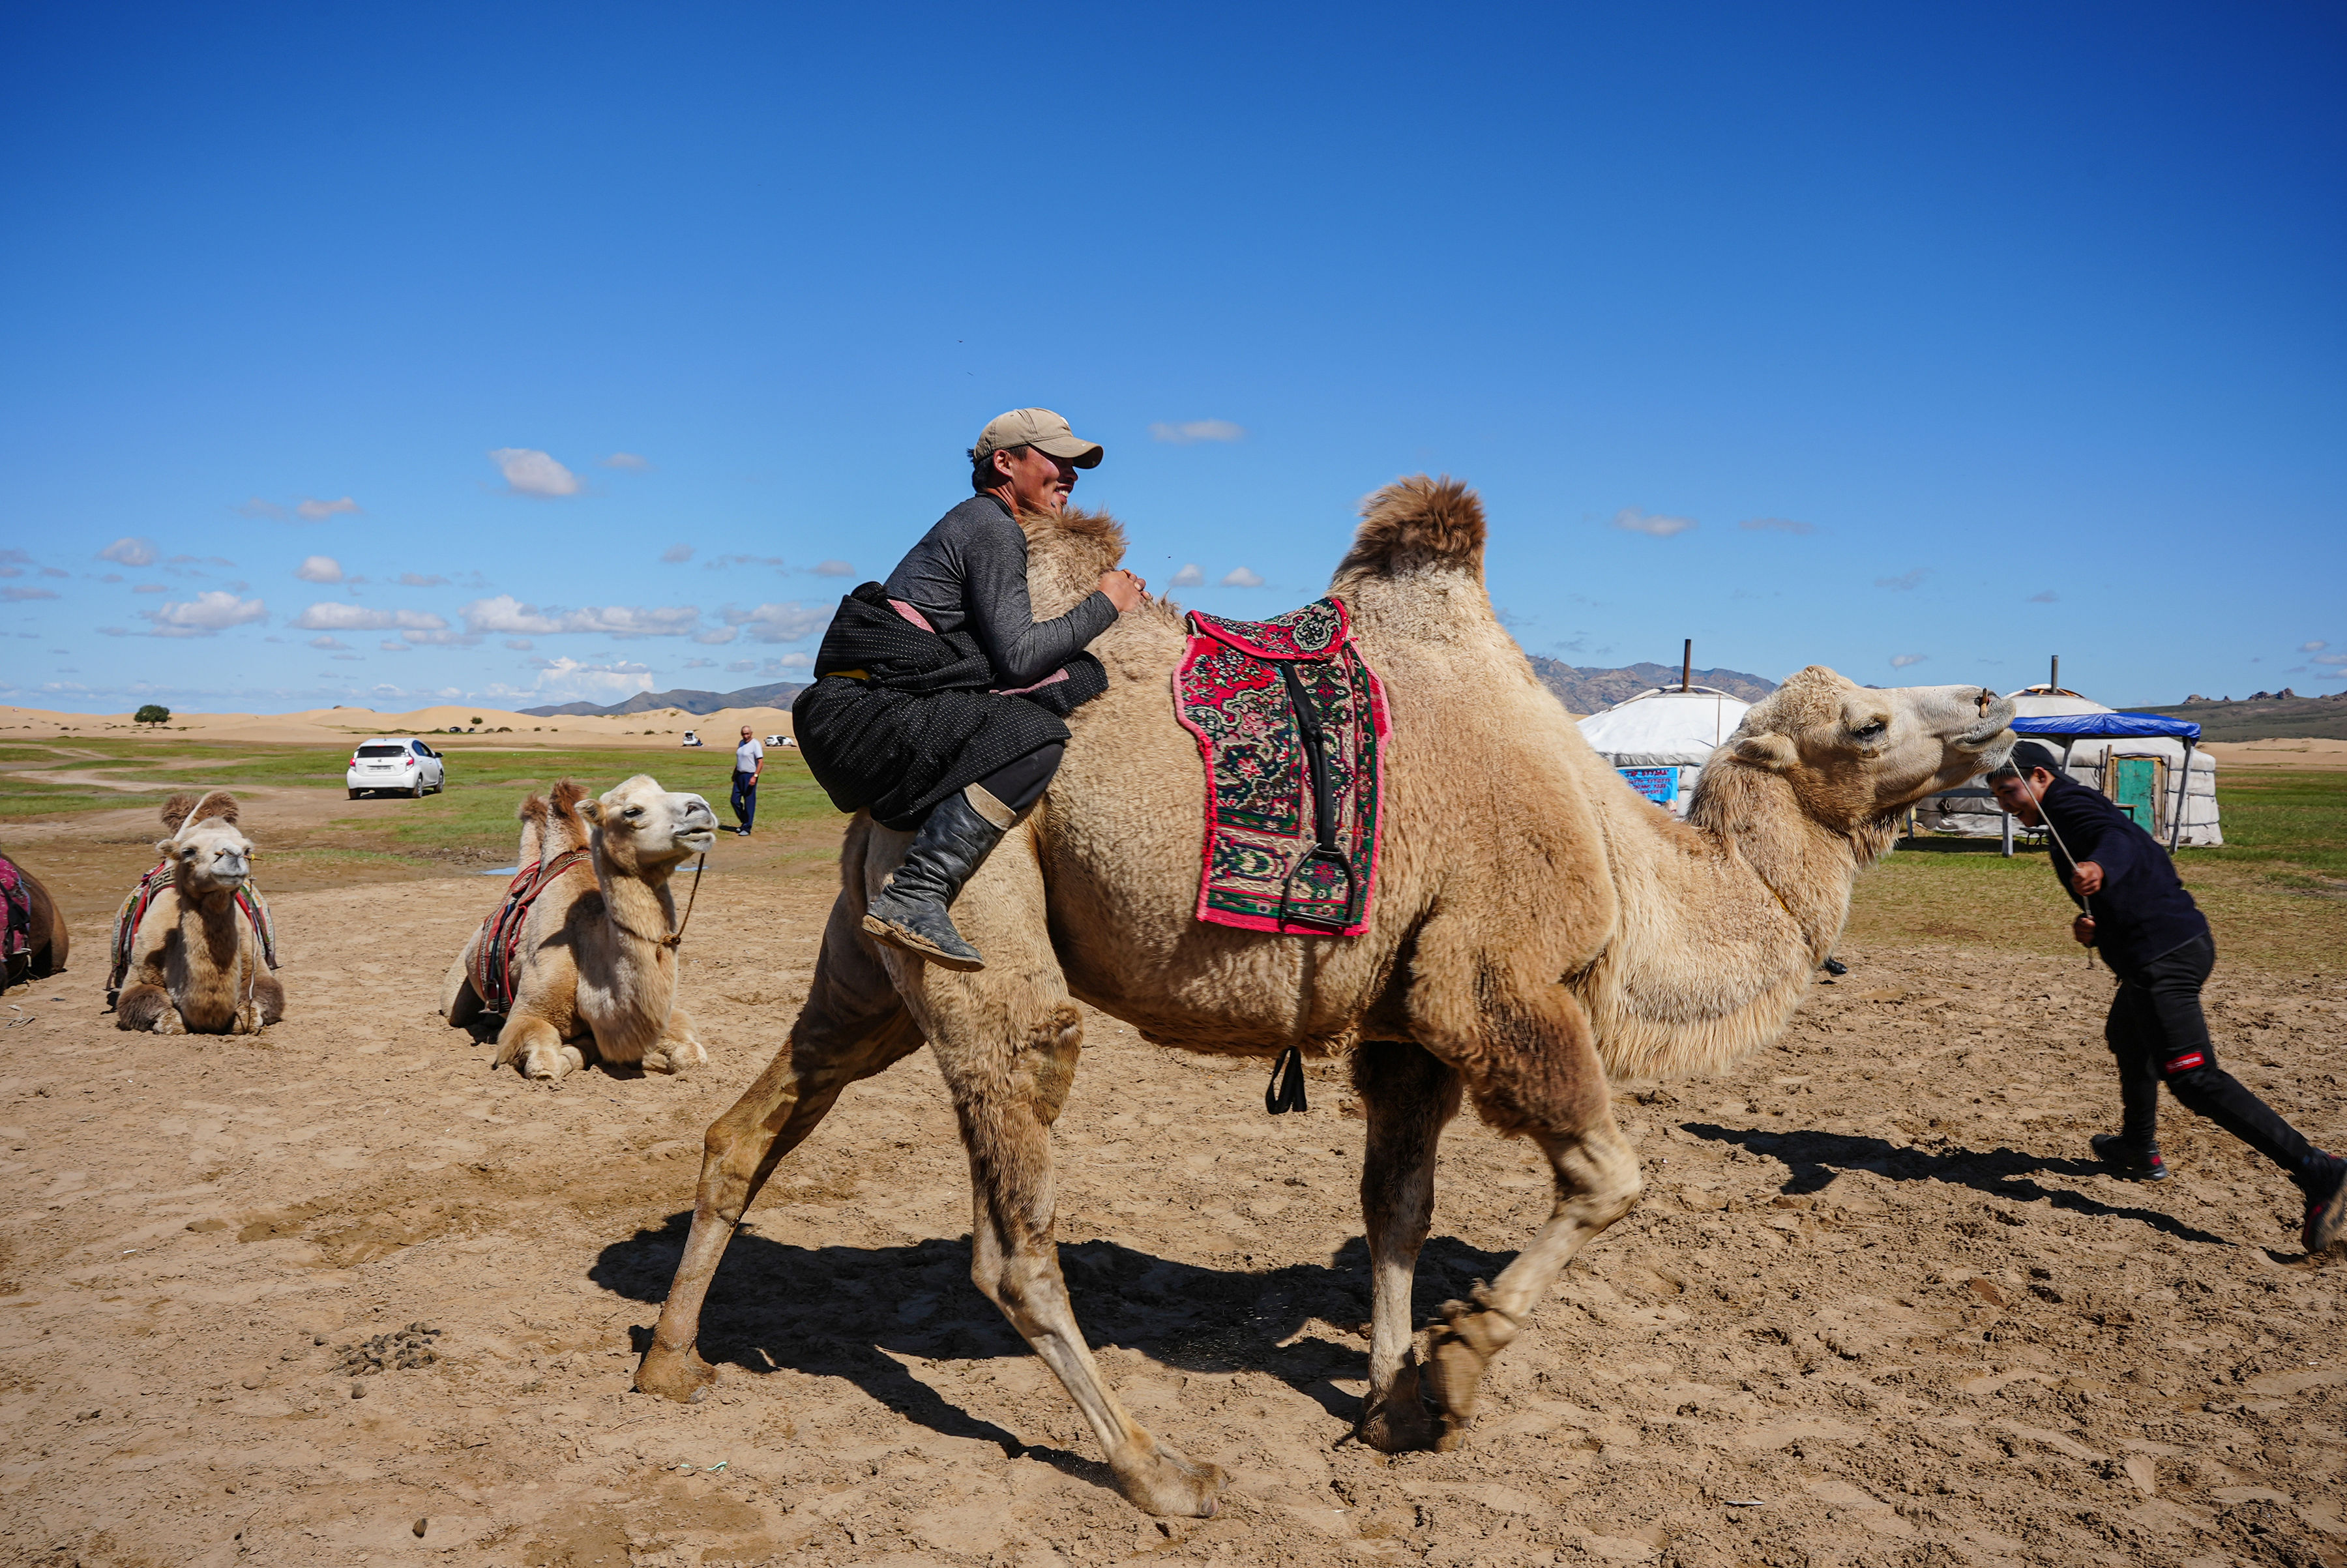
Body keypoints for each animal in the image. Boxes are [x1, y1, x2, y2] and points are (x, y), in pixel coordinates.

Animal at [439, 769, 713, 1080]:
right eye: (632, 811)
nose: (701, 807)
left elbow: (693, 1055)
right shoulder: (529, 1014)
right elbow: (547, 1066)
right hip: (457, 993)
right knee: (456, 1012)